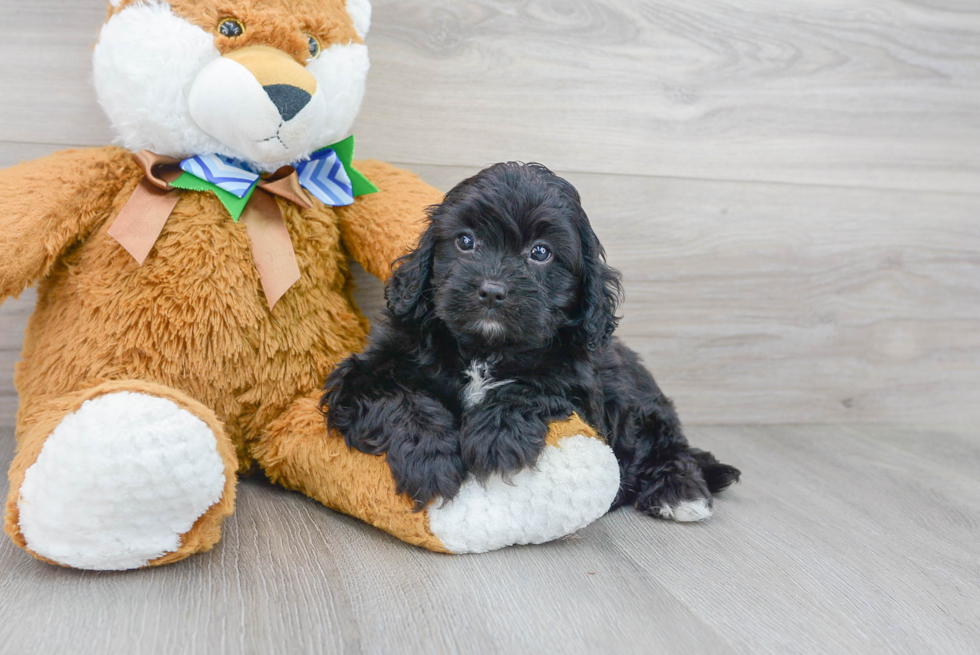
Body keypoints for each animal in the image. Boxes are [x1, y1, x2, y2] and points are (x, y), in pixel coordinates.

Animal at [326, 164, 740, 524]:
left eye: (540, 252)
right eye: (465, 241)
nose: (492, 291)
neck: (485, 349)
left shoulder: (582, 392)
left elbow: (535, 388)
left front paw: (494, 438)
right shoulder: (363, 373)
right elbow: (397, 396)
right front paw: (431, 457)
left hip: (640, 402)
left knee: (670, 448)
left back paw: (680, 492)